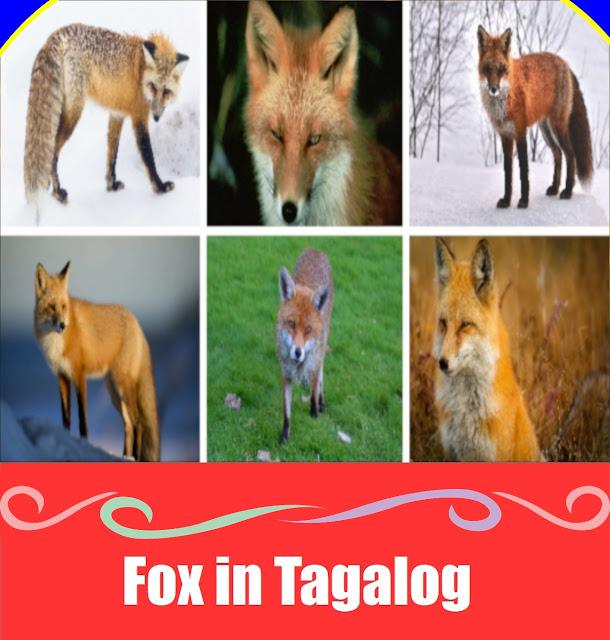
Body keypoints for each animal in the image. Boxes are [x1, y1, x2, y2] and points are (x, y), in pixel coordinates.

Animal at [24, 23, 189, 205]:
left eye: (166, 92)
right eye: (153, 86)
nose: (157, 117)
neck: (140, 73)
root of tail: (57, 35)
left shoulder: (117, 114)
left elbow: (112, 155)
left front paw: (111, 186)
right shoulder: (138, 117)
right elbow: (148, 156)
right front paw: (160, 188)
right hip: (74, 112)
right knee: (53, 150)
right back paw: (57, 192)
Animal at [34, 261, 160, 462]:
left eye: (63, 306)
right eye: (52, 306)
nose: (62, 325)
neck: (55, 342)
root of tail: (136, 323)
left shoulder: (79, 375)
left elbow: (82, 419)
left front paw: (84, 444)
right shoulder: (62, 377)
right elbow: (66, 417)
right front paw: (66, 439)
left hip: (123, 386)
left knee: (138, 422)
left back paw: (135, 457)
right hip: (115, 393)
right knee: (128, 425)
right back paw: (125, 456)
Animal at [277, 249, 333, 443]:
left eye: (308, 329)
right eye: (291, 324)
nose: (298, 352)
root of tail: (315, 250)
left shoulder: (314, 364)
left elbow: (315, 391)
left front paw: (315, 412)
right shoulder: (286, 375)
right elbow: (286, 412)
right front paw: (285, 436)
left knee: (322, 374)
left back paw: (321, 402)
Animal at [477, 25, 592, 209]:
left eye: (501, 68)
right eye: (487, 68)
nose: (494, 89)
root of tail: (564, 63)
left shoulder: (520, 132)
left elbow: (524, 171)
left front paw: (524, 201)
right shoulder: (505, 135)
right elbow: (508, 173)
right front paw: (507, 200)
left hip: (558, 127)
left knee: (570, 154)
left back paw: (567, 191)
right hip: (546, 131)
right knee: (558, 154)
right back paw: (554, 188)